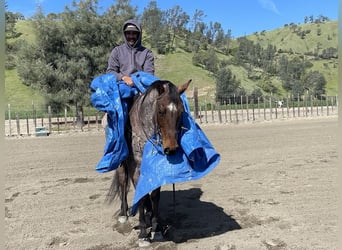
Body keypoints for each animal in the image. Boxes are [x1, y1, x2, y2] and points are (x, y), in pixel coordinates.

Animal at [105, 79, 191, 246]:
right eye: (161, 111)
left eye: (181, 111)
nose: (171, 148)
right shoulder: (136, 169)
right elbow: (142, 195)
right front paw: (144, 234)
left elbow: (154, 195)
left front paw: (157, 229)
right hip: (122, 165)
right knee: (123, 183)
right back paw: (124, 215)